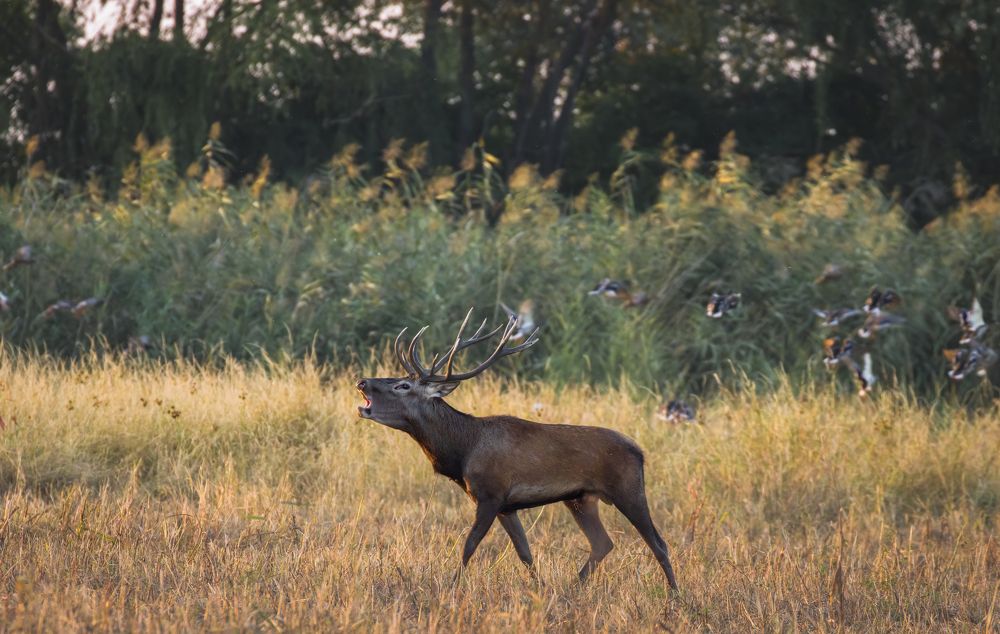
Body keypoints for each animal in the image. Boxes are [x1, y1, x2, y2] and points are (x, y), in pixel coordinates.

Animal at [355, 309, 678, 591]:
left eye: (402, 386)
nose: (362, 381)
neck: (462, 451)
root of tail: (640, 452)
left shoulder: (491, 493)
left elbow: (469, 546)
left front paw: (450, 586)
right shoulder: (507, 505)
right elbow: (524, 552)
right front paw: (541, 588)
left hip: (627, 488)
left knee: (658, 543)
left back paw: (675, 594)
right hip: (580, 498)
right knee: (603, 543)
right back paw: (573, 587)